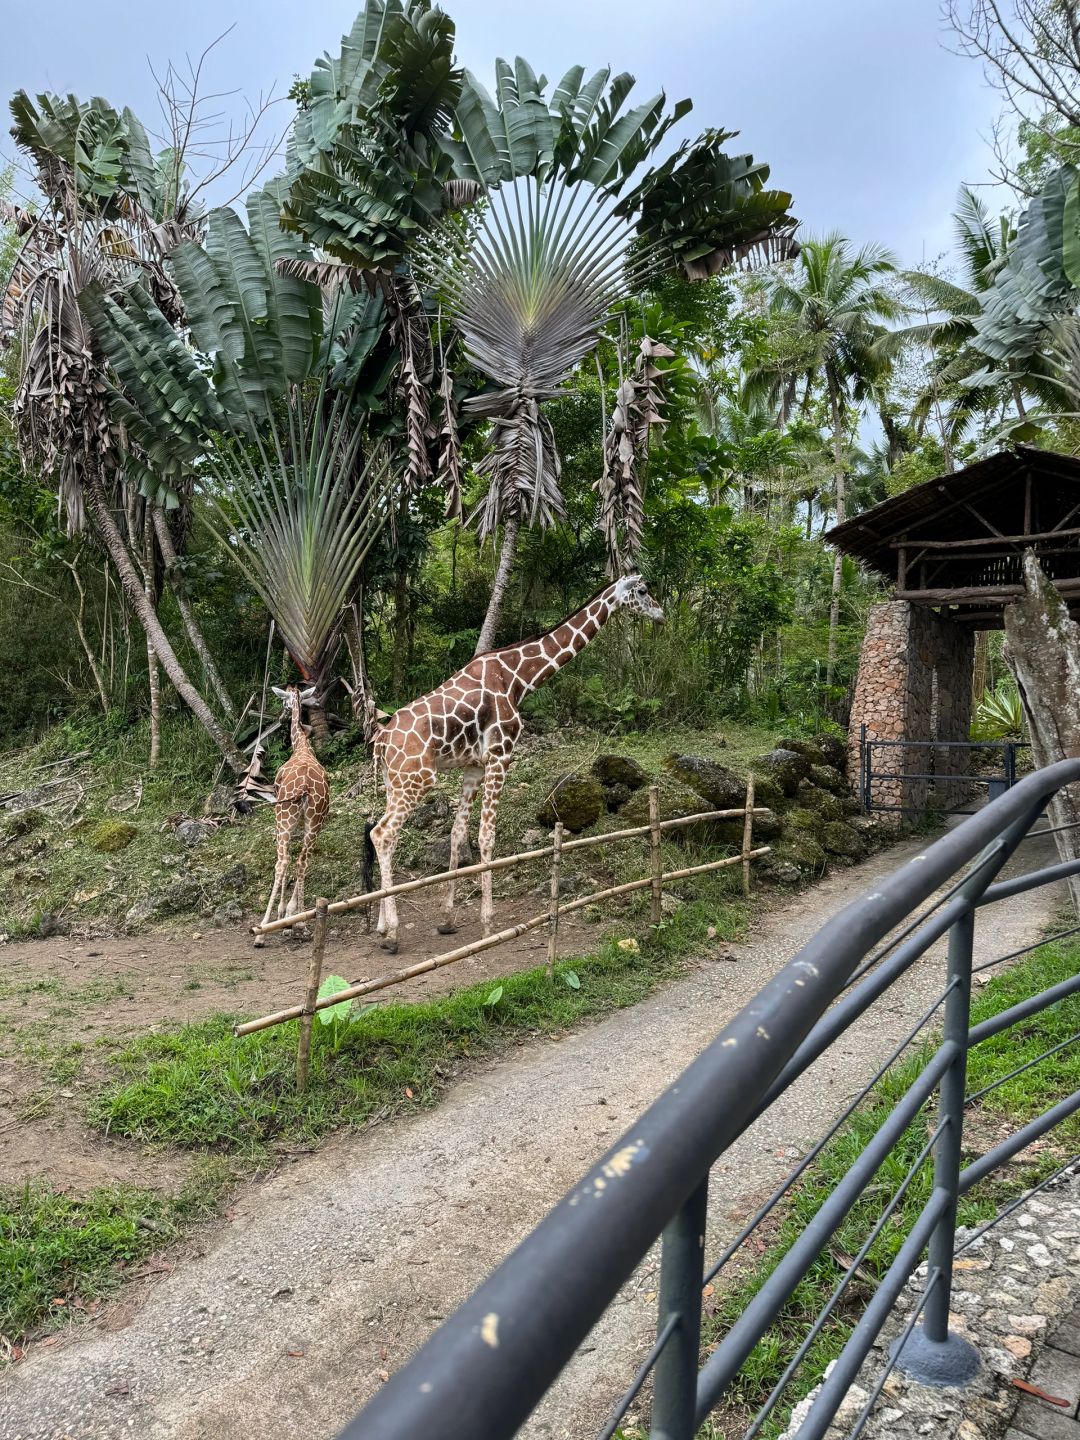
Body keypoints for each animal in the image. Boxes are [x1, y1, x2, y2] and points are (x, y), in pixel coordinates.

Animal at [256, 685, 332, 944]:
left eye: (282, 702)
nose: (280, 718)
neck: (302, 748)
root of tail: (305, 788)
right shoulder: (304, 825)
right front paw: (290, 918)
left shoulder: (284, 823)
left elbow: (284, 862)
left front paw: (282, 914)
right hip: (314, 822)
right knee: (302, 861)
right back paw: (302, 923)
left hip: (284, 817)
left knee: (283, 862)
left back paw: (262, 930)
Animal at [368, 567, 665, 950]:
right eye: (642, 591)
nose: (661, 614)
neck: (518, 678)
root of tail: (382, 739)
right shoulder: (501, 755)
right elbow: (486, 836)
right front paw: (488, 923)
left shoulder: (474, 767)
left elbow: (458, 833)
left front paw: (448, 919)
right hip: (417, 780)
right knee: (383, 834)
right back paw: (391, 933)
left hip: (395, 782)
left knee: (380, 834)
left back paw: (380, 926)